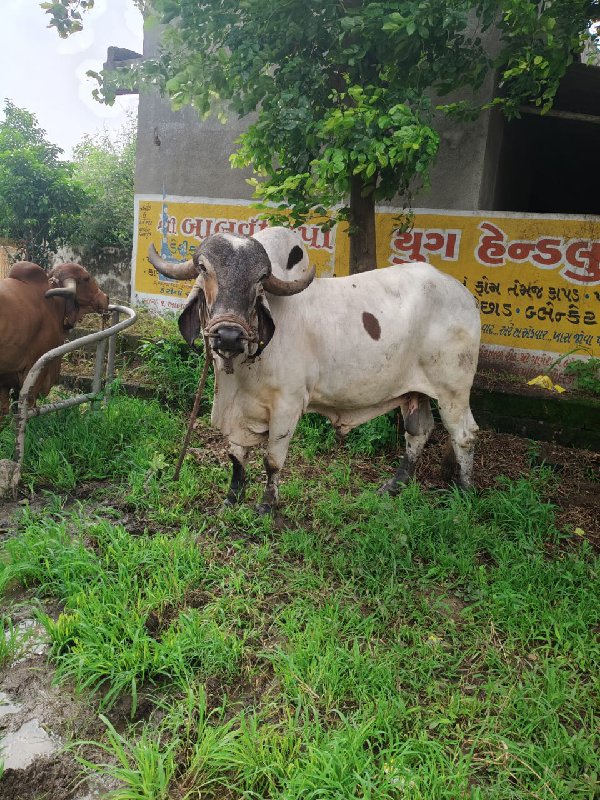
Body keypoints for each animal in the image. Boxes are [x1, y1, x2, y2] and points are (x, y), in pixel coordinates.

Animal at [0, 261, 109, 416]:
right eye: (86, 278)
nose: (106, 297)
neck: (54, 304)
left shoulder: (5, 377)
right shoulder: (36, 367)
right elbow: (28, 404)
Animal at [148, 227, 480, 513]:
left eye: (261, 278)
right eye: (204, 268)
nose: (229, 335)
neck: (240, 372)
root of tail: (465, 295)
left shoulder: (288, 405)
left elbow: (272, 460)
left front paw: (266, 506)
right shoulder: (240, 411)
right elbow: (237, 455)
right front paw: (231, 500)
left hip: (453, 390)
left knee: (464, 435)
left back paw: (463, 493)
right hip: (415, 391)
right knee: (418, 431)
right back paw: (394, 485)